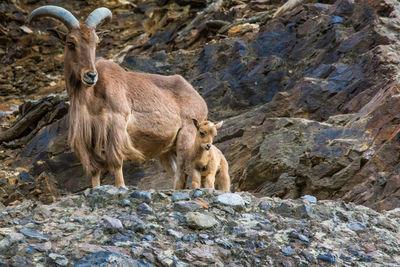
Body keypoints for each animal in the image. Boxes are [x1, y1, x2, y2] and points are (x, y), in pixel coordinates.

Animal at [29, 6, 208, 191]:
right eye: (71, 42)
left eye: (96, 42)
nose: (91, 75)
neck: (91, 97)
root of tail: (198, 98)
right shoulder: (87, 134)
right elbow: (94, 169)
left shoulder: (116, 124)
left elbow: (115, 161)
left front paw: (120, 186)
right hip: (166, 149)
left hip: (187, 137)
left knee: (183, 172)